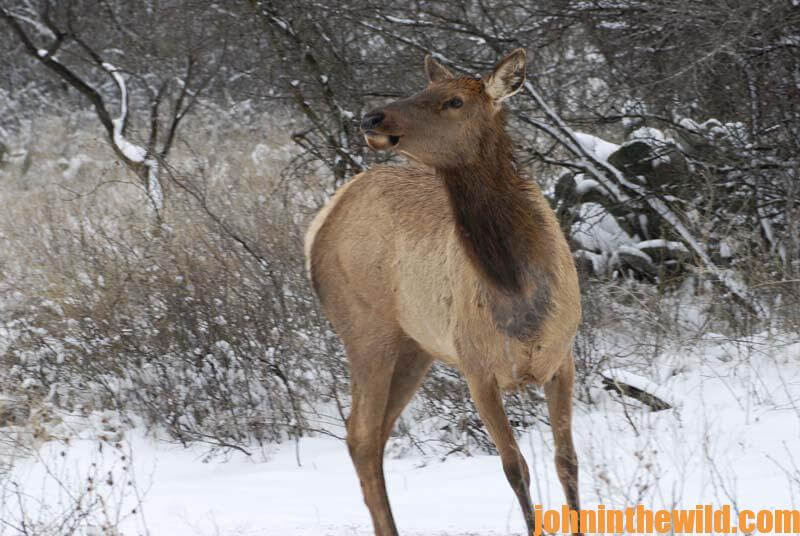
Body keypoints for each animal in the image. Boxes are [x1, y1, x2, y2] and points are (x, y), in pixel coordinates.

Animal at [304, 48, 582, 536]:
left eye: (453, 100)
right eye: (423, 88)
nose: (372, 116)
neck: (516, 288)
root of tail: (319, 222)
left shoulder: (561, 357)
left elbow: (566, 461)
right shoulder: (477, 368)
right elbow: (515, 468)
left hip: (415, 348)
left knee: (372, 434)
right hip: (366, 332)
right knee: (361, 434)